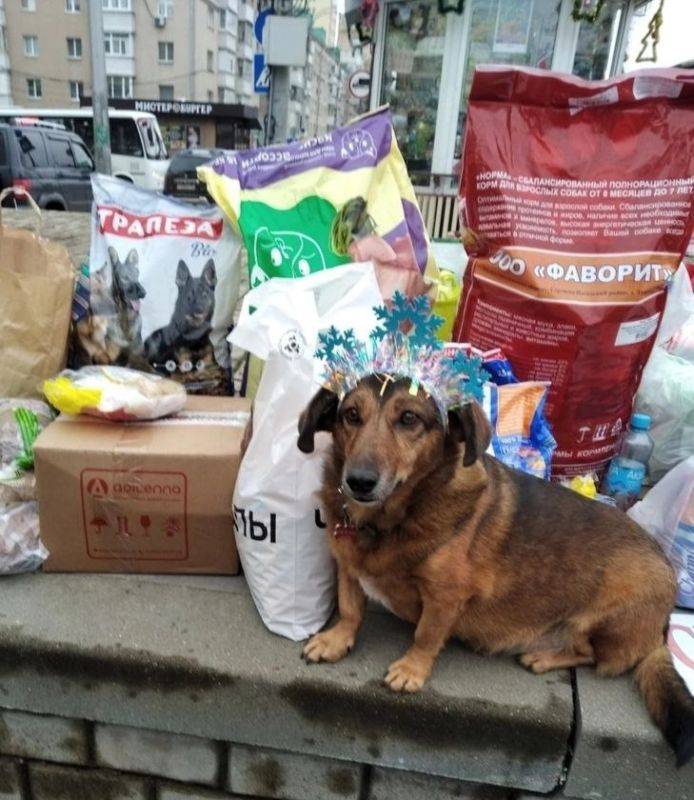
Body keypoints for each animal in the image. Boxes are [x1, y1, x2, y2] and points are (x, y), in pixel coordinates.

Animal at [298, 378, 694, 764]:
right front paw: (336, 640)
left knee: (596, 656)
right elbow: (350, 608)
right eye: (351, 414)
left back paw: (545, 656)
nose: (358, 481)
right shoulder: (347, 564)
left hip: (605, 617)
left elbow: (426, 635)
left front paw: (412, 669)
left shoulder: (445, 597)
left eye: (409, 418)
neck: (388, 520)